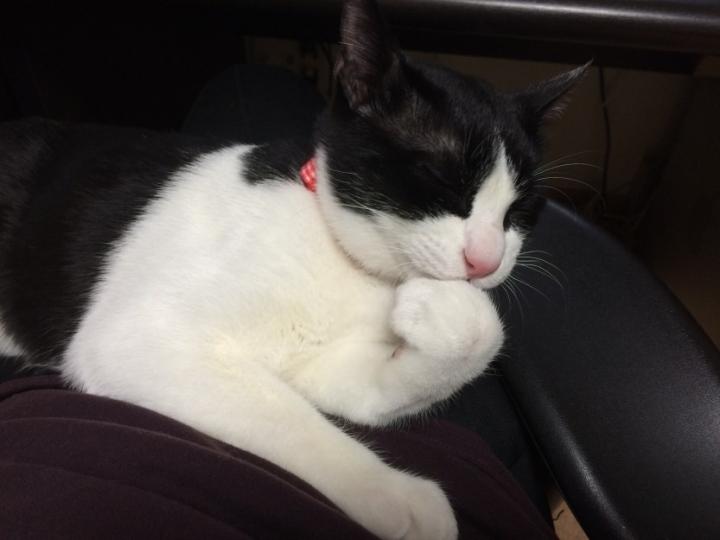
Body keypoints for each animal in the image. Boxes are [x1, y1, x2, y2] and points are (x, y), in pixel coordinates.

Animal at [0, 0, 586, 538]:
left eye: (520, 211)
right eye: (441, 181)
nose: (485, 260)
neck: (341, 256)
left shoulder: (327, 366)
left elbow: (422, 367)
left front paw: (439, 313)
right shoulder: (134, 339)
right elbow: (288, 418)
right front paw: (400, 496)